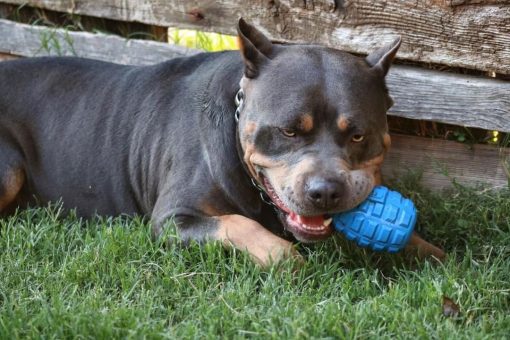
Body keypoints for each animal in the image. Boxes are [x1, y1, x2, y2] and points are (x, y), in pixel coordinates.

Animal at [0, 19, 444, 266]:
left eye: (357, 135)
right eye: (288, 131)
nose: (325, 191)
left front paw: (429, 250)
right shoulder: (173, 219)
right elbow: (240, 224)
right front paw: (288, 259)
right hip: (9, 167)